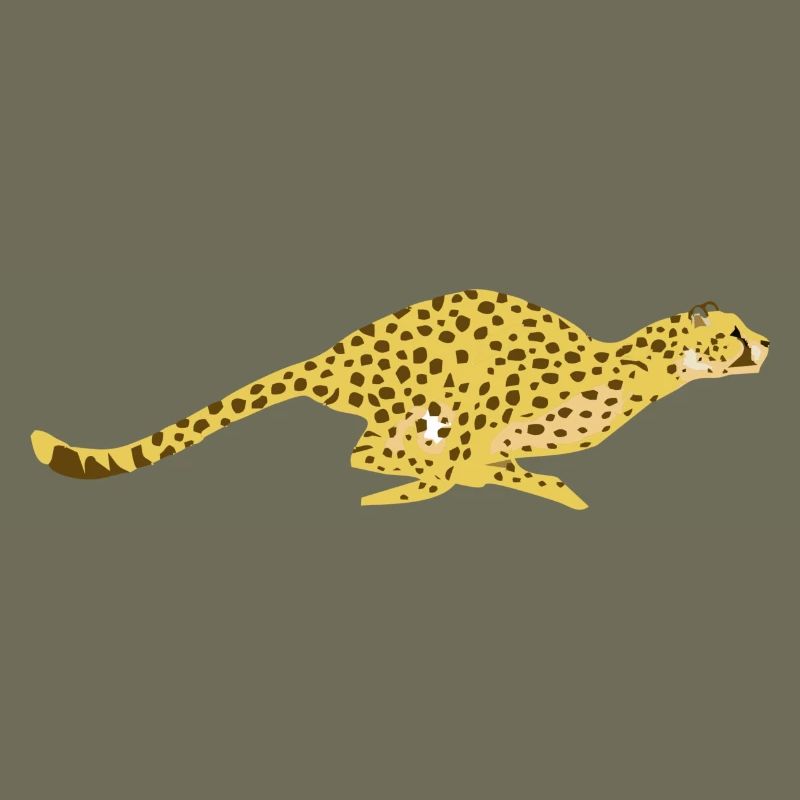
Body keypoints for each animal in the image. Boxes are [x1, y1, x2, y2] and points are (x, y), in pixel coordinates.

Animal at [31, 291, 769, 509]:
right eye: (733, 332)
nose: (766, 342)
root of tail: (337, 351)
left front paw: (543, 483)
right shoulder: (480, 396)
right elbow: (461, 466)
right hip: (413, 393)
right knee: (363, 453)